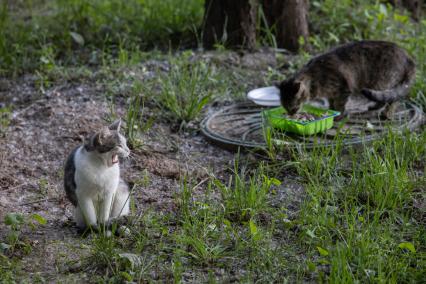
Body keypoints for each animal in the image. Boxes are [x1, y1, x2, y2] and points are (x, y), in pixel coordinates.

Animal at [278, 40, 414, 116]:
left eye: (292, 107)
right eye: (284, 107)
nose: (290, 115)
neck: (315, 79)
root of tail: (407, 56)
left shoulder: (343, 89)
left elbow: (340, 105)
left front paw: (338, 115)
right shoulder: (331, 94)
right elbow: (331, 104)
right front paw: (331, 111)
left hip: (382, 82)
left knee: (392, 99)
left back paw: (385, 112)